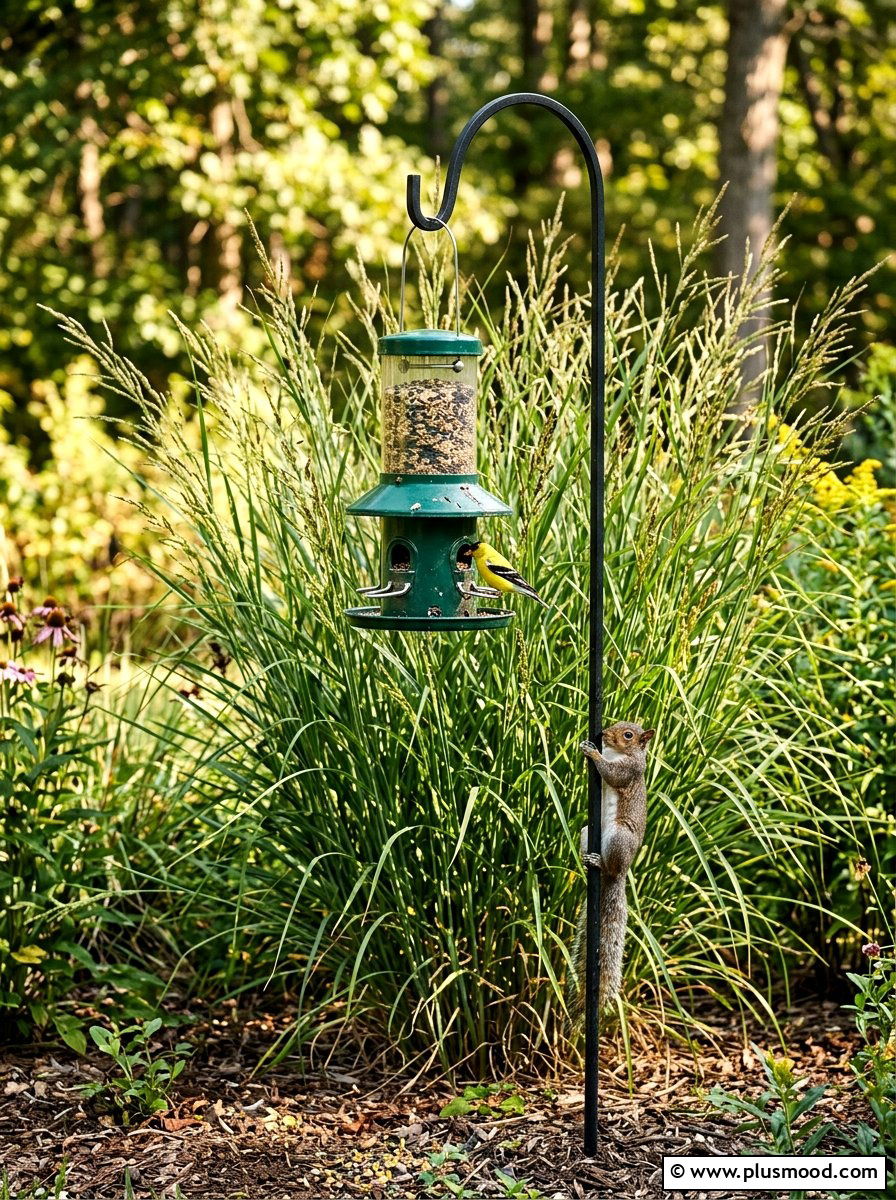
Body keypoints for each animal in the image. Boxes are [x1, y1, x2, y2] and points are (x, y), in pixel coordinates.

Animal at [566, 721, 655, 1025]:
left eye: (628, 735)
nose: (604, 733)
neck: (620, 753)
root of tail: (620, 873)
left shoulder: (629, 770)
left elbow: (610, 772)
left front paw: (593, 753)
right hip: (586, 832)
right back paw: (585, 862)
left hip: (618, 838)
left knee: (609, 865)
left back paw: (599, 863)